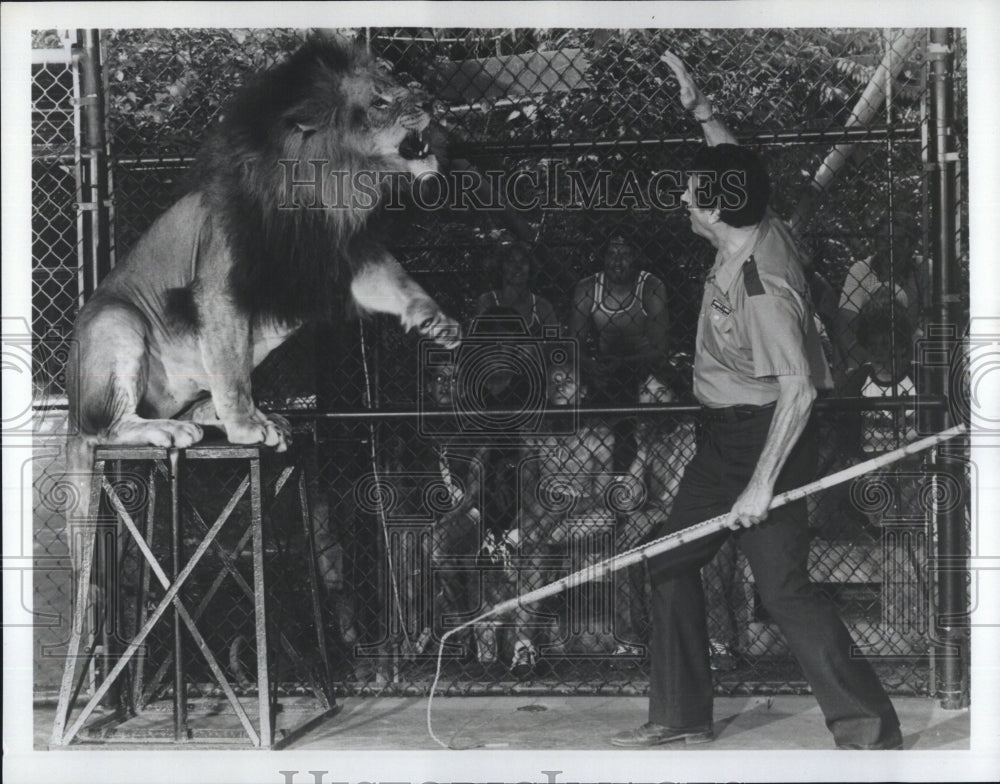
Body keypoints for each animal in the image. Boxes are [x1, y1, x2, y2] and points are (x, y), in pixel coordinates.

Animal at [64, 38, 462, 564]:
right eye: (379, 102)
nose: (432, 101)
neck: (331, 185)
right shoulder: (222, 284)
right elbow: (232, 372)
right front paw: (244, 426)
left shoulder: (338, 258)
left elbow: (394, 281)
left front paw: (436, 321)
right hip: (115, 324)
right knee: (105, 427)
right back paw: (174, 429)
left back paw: (221, 415)